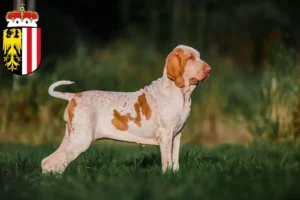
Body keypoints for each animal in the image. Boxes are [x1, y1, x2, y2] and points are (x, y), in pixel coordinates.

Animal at [41, 45, 211, 173]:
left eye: (199, 56)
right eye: (190, 58)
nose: (209, 69)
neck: (180, 93)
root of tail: (74, 96)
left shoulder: (176, 136)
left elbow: (175, 162)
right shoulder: (165, 135)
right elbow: (167, 162)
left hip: (71, 137)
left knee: (48, 162)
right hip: (81, 139)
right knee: (55, 161)